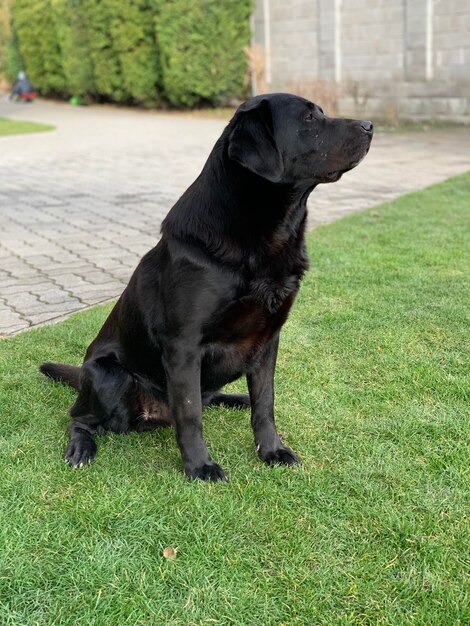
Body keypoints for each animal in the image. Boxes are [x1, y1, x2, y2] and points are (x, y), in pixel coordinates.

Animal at [39, 92, 370, 480]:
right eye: (308, 119)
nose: (369, 125)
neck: (262, 235)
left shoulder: (268, 337)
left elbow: (265, 403)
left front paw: (272, 450)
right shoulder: (184, 345)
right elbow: (190, 412)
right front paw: (200, 467)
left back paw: (236, 399)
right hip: (108, 376)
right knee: (79, 418)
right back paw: (81, 447)